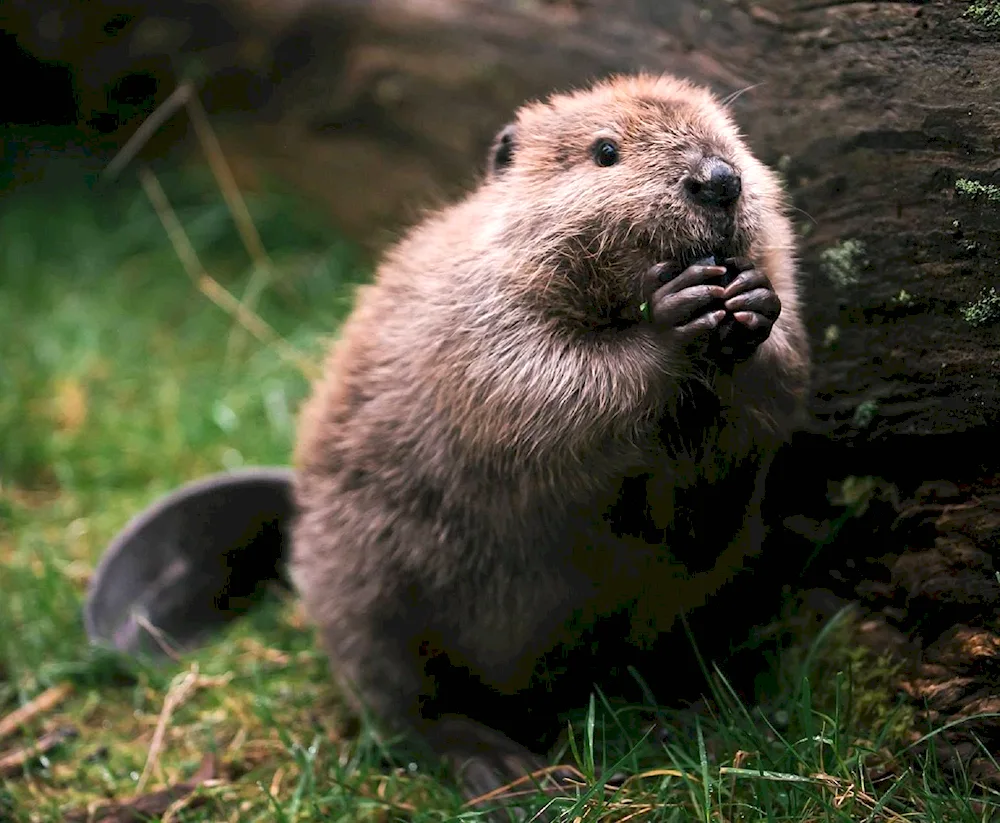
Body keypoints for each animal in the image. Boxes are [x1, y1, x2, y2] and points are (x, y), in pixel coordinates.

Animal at [86, 74, 812, 816]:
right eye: (605, 150)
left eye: (734, 137)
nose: (719, 179)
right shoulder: (471, 313)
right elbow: (541, 387)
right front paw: (679, 312)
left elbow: (766, 399)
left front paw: (752, 302)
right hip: (364, 584)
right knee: (403, 706)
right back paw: (502, 766)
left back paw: (698, 715)